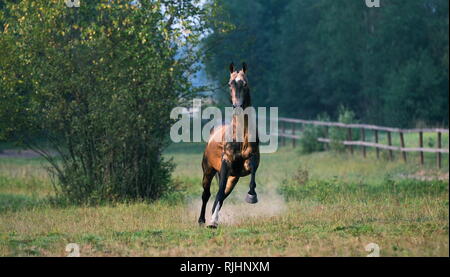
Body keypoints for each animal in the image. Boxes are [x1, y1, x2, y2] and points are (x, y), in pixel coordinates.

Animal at [198, 62, 260, 226]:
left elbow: (252, 174)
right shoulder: (226, 163)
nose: (237, 106)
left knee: (222, 195)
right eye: (229, 83)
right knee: (207, 194)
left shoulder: (250, 162)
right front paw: (212, 221)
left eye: (245, 83)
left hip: (233, 178)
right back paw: (203, 220)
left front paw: (251, 196)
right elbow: (218, 192)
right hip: (208, 171)